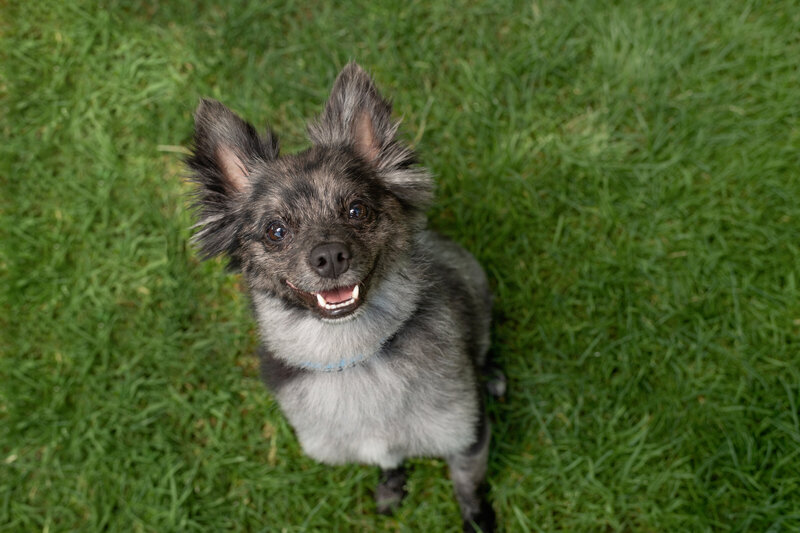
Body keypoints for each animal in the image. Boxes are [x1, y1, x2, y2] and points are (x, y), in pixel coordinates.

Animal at [188, 63, 500, 532]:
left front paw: (479, 520)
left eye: (357, 210)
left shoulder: (467, 437)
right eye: (276, 231)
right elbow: (389, 461)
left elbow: (468, 488)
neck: (352, 355)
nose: (330, 256)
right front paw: (392, 488)